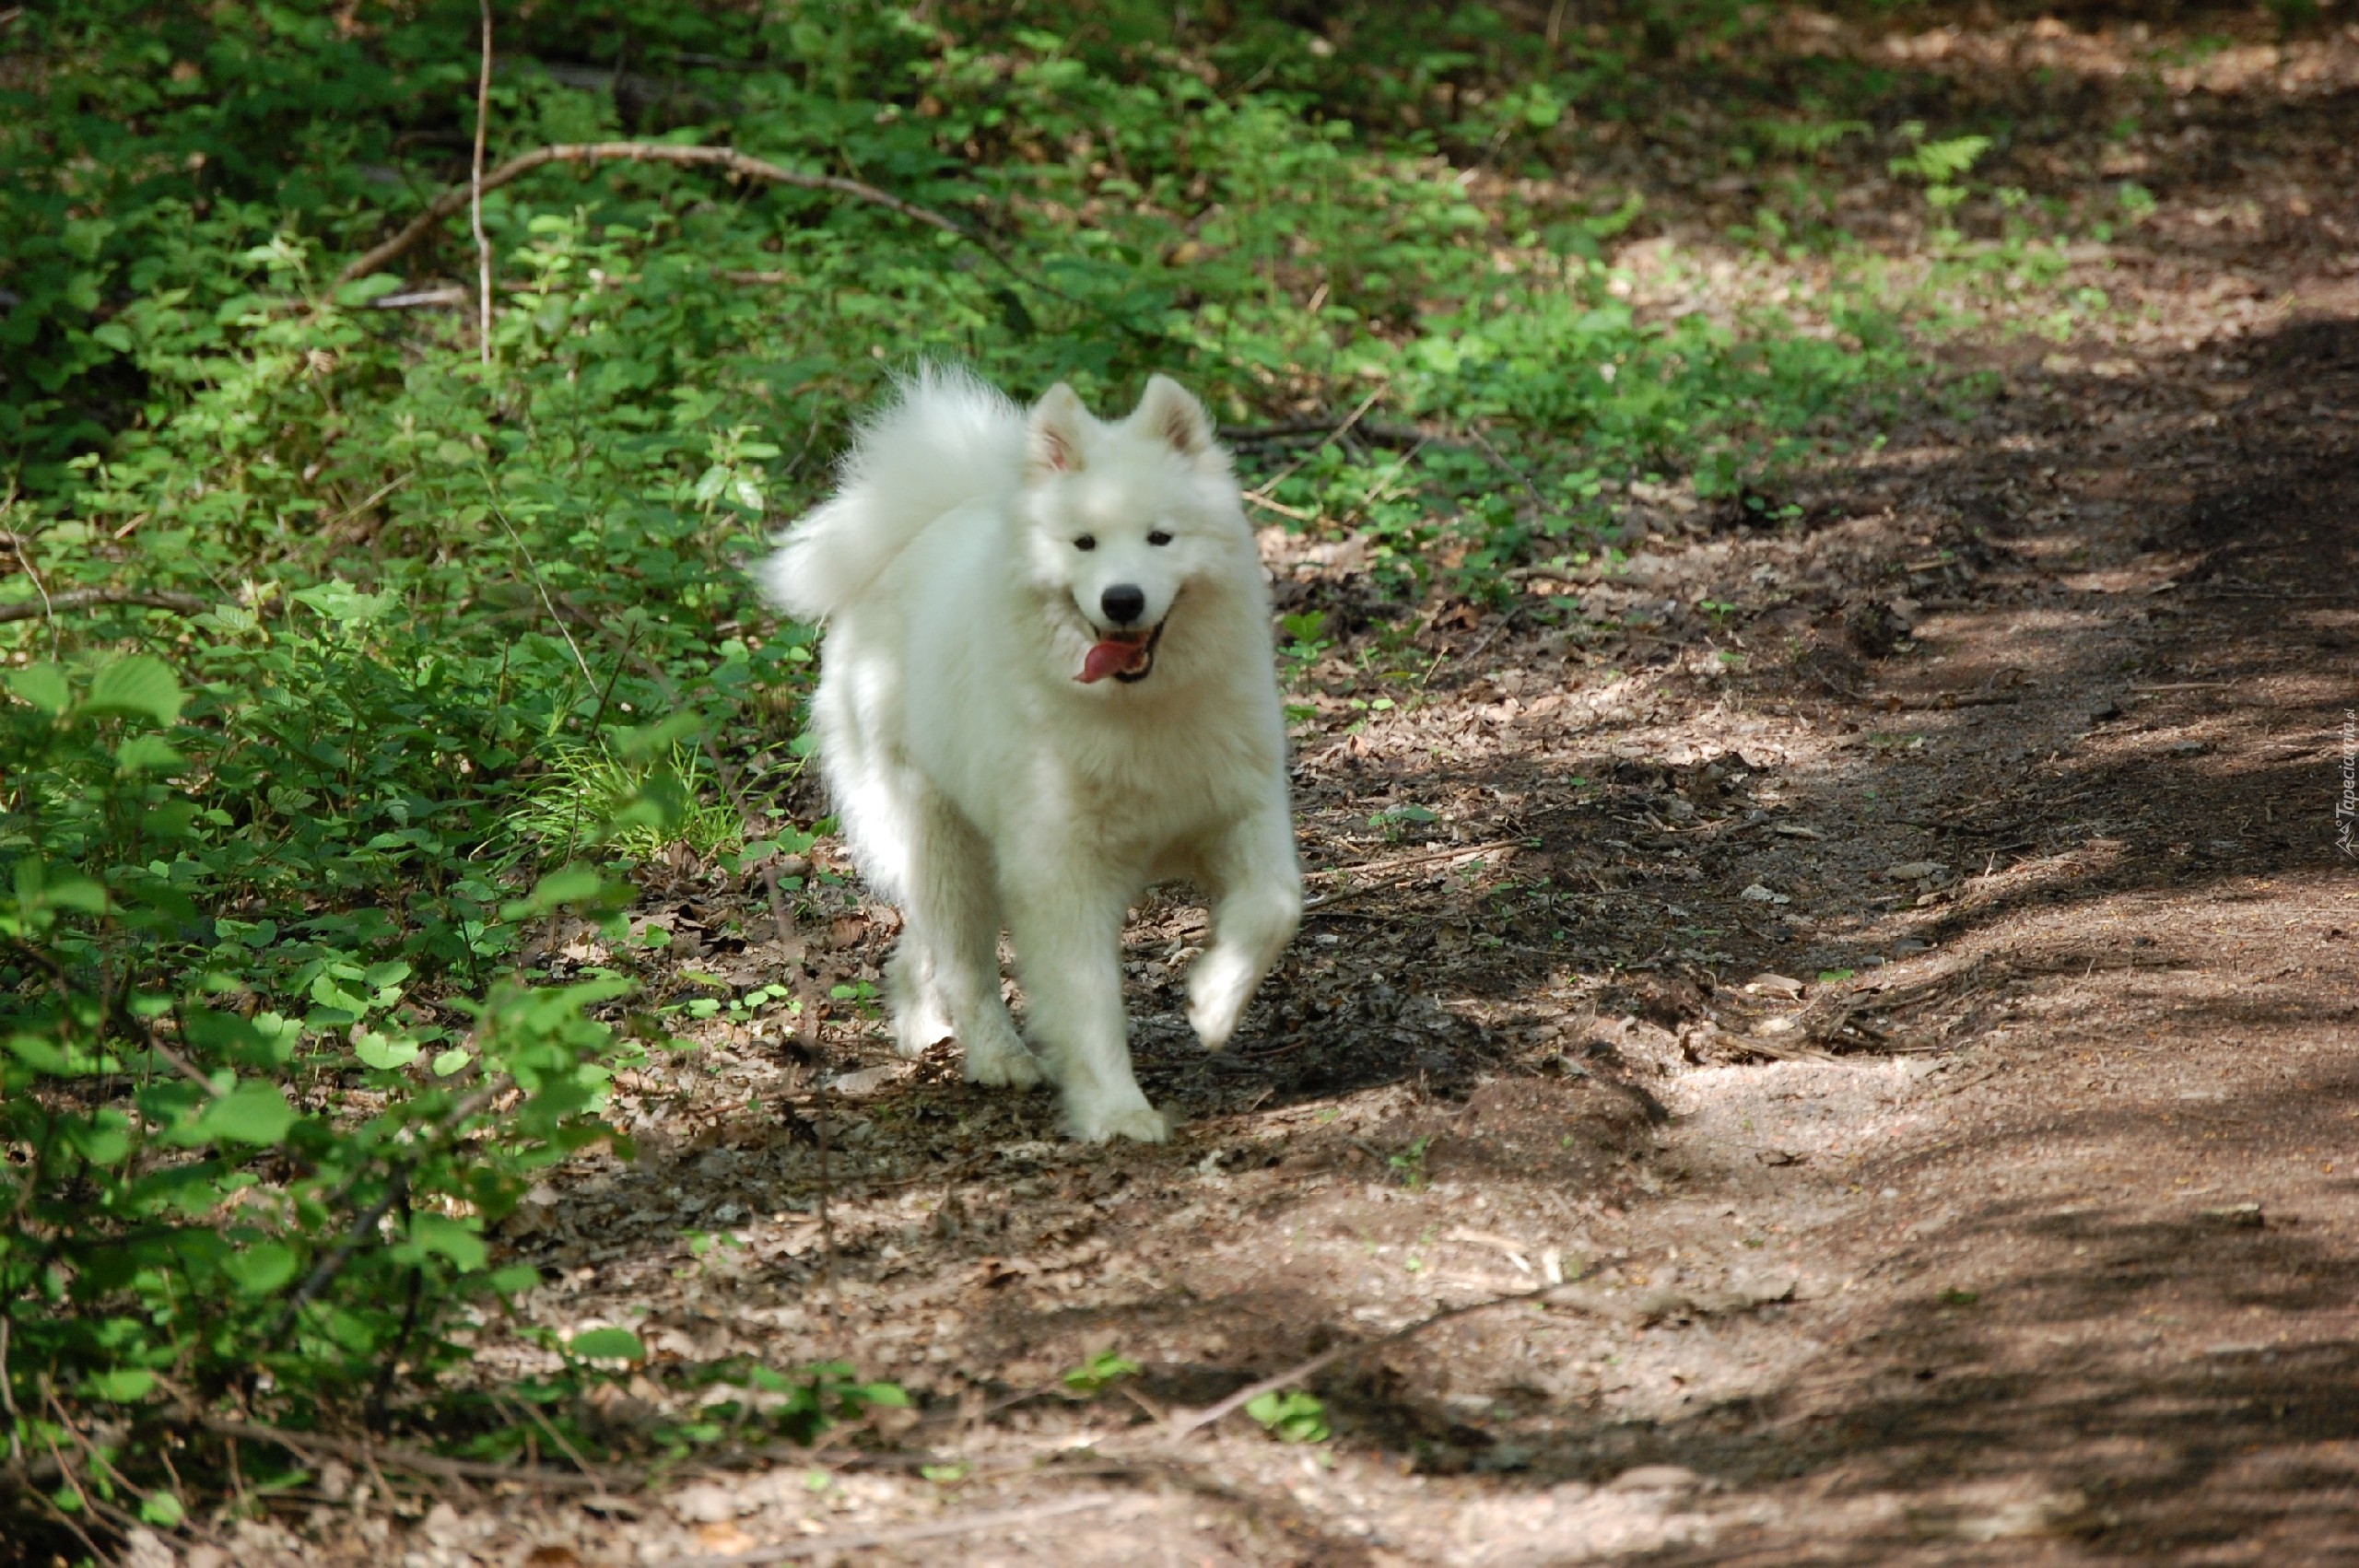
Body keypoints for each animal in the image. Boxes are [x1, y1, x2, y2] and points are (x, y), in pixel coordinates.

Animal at [759, 372, 1302, 1145]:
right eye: (1084, 544)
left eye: (1161, 537)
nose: (1122, 599)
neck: (1136, 711)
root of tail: (917, 534)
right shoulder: (1060, 869)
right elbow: (1087, 997)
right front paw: (1116, 1111)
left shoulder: (1240, 809)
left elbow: (1275, 907)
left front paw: (1213, 1001)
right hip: (943, 838)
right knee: (966, 962)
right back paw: (997, 1056)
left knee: (922, 949)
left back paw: (924, 1028)